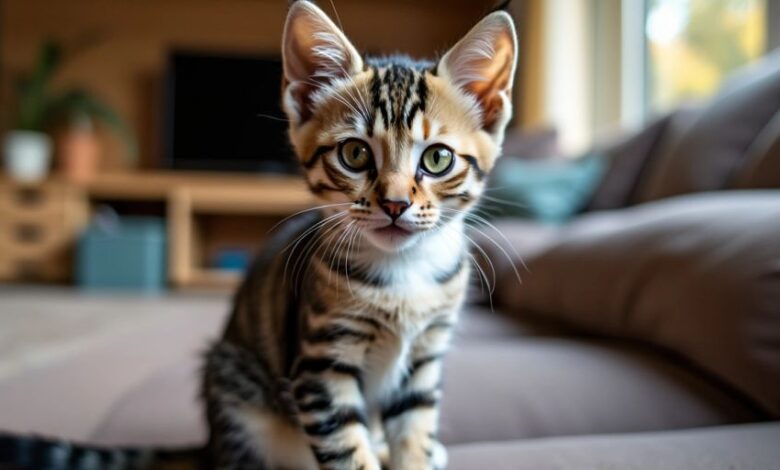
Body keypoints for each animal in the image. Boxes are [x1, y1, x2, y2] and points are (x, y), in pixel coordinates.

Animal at [203, 1, 516, 468]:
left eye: (438, 158)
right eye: (355, 153)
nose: (395, 203)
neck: (405, 272)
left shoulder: (425, 359)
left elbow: (414, 432)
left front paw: (414, 453)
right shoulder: (320, 366)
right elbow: (348, 449)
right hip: (232, 381)